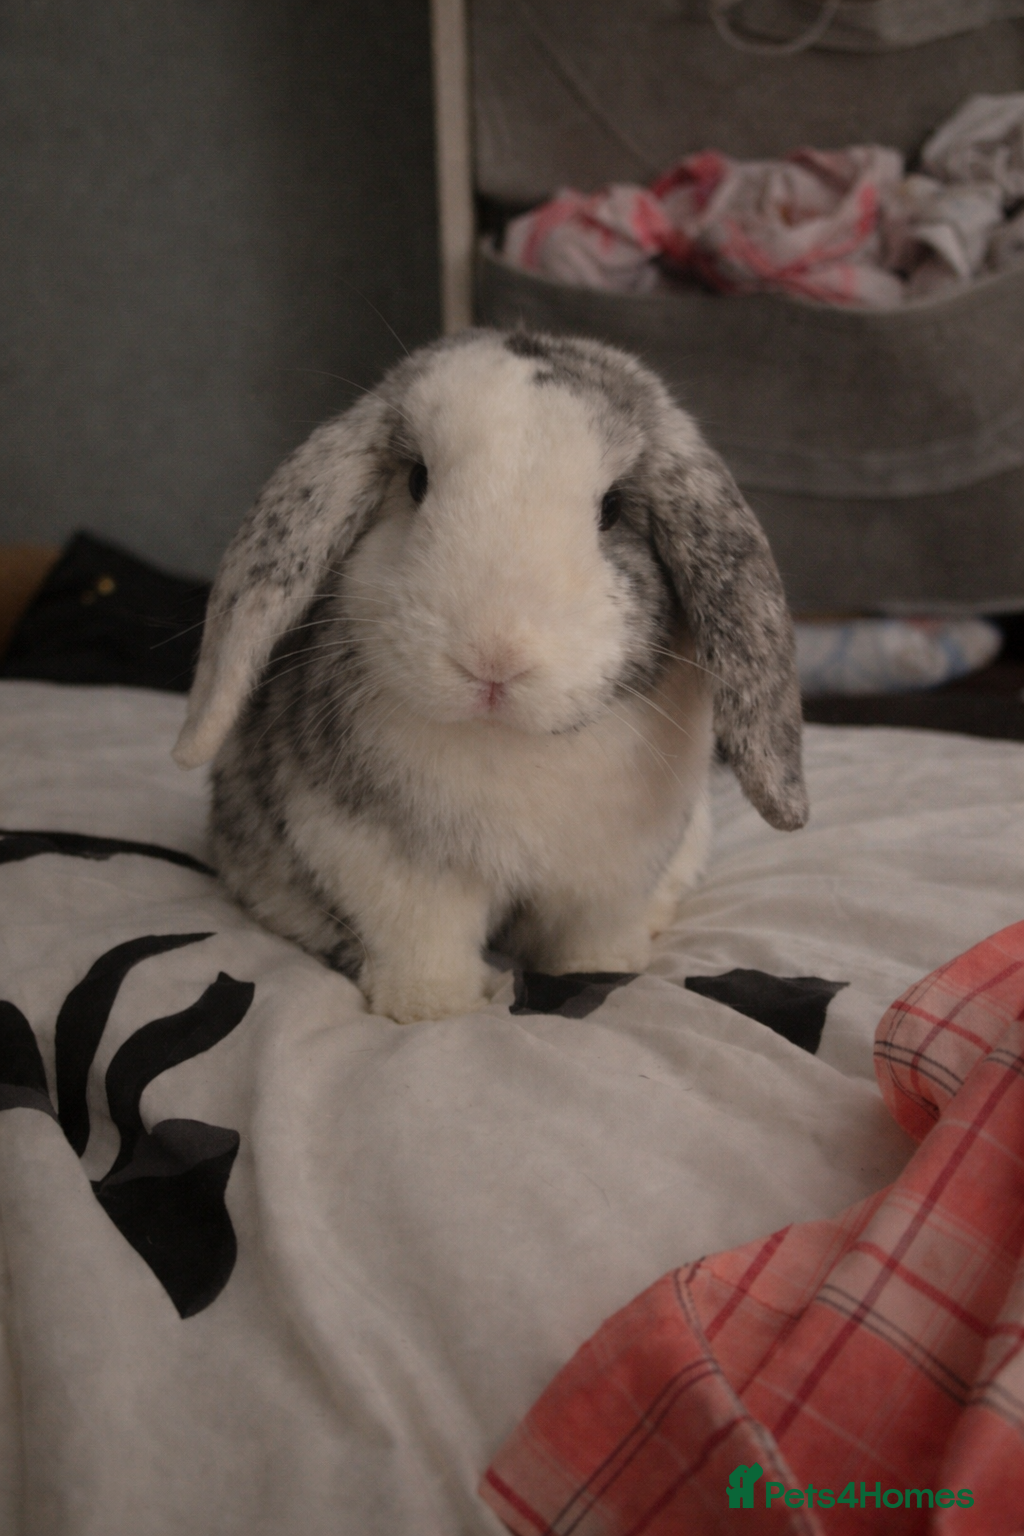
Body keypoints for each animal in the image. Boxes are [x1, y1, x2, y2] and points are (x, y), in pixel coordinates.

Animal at [174, 329, 807, 1023]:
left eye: (612, 508)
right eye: (418, 480)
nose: (493, 658)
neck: (513, 743)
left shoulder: (611, 877)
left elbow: (592, 940)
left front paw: (605, 973)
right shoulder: (390, 863)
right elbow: (423, 939)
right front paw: (432, 1009)